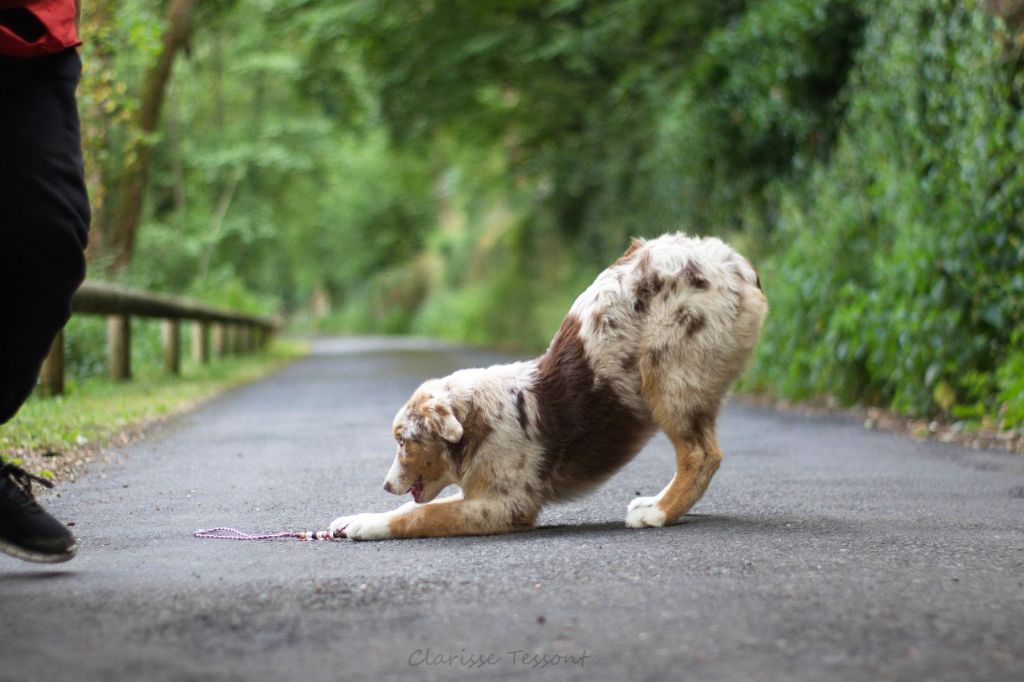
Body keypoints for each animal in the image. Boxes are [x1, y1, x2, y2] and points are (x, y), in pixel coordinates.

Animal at [329, 231, 770, 540]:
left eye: (405, 441)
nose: (386, 484)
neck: (478, 422)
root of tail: (735, 262)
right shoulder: (479, 493)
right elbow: (409, 510)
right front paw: (353, 518)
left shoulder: (504, 504)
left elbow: (422, 515)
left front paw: (368, 526)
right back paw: (657, 500)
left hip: (668, 377)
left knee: (701, 455)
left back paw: (657, 513)